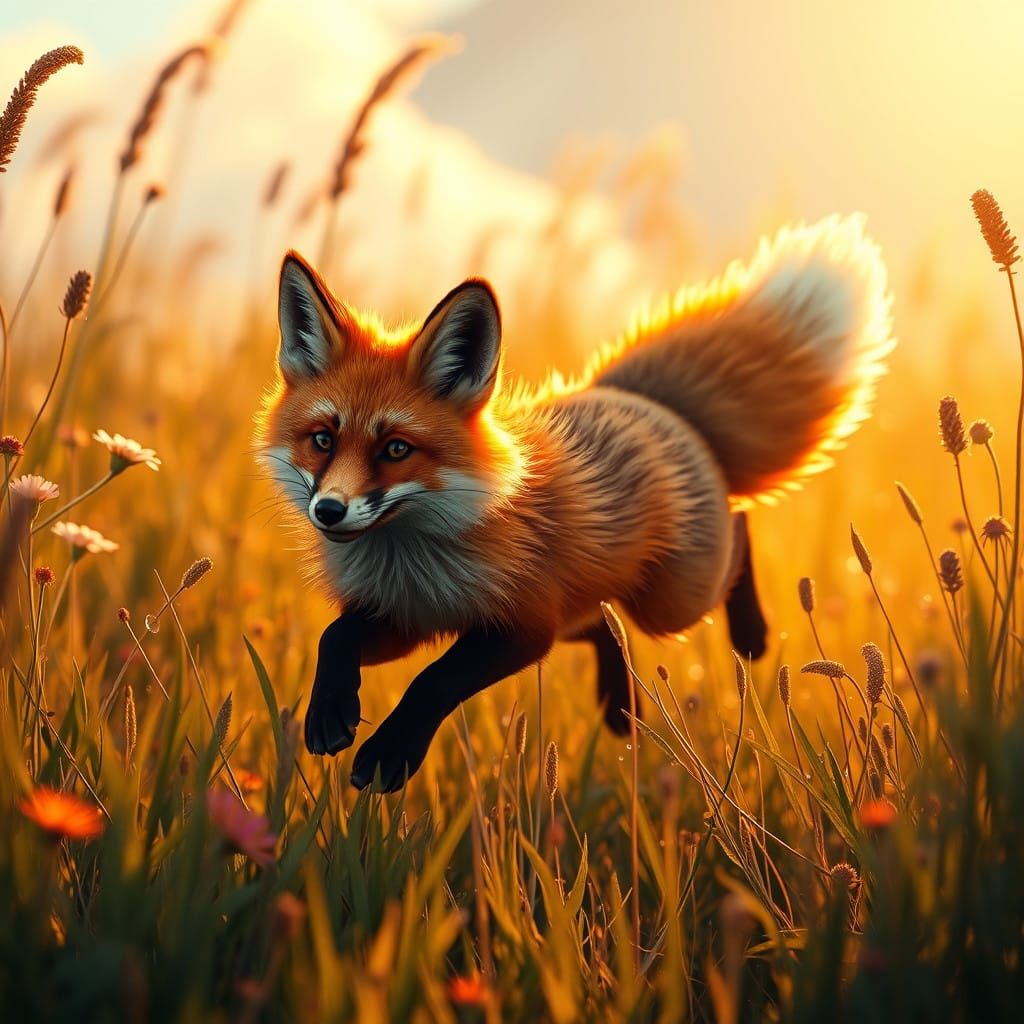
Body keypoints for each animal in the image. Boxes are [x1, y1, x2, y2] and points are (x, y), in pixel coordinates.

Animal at [257, 214, 893, 792]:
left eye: (395, 449)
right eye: (323, 440)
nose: (329, 510)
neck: (414, 554)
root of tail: (634, 396)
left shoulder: (524, 624)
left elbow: (433, 681)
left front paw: (389, 755)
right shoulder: (404, 617)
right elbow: (334, 637)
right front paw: (329, 713)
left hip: (672, 602)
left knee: (737, 528)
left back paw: (751, 633)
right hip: (594, 602)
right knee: (604, 628)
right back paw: (621, 705)